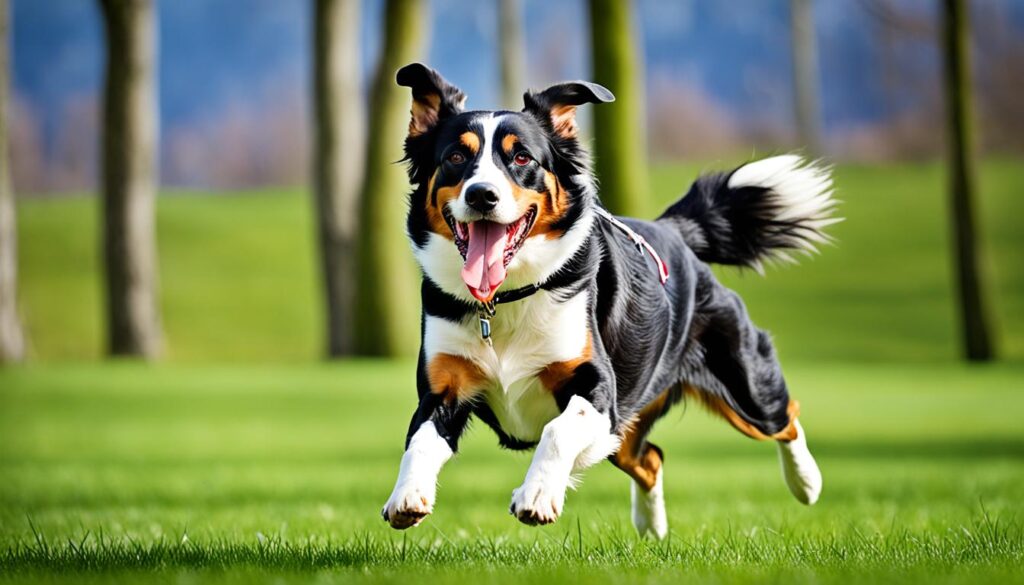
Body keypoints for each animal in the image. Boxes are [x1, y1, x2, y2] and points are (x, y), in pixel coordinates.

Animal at [380, 61, 835, 536]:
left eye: (521, 157)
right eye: (455, 157)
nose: (481, 194)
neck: (502, 300)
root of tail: (676, 231)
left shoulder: (596, 387)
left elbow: (557, 431)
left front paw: (537, 495)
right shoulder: (443, 389)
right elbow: (419, 440)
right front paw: (407, 495)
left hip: (740, 379)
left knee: (784, 416)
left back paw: (807, 482)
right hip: (626, 426)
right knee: (650, 457)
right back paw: (651, 528)